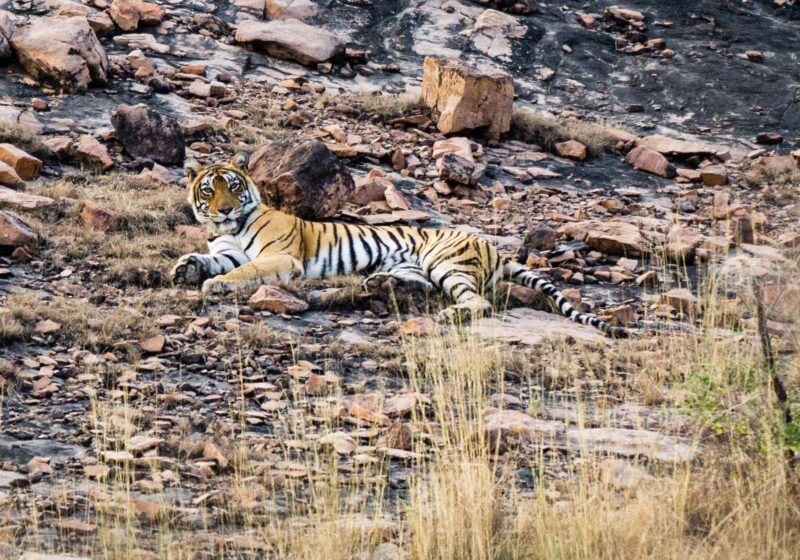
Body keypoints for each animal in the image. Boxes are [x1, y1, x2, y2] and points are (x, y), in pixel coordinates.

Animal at [171, 153, 626, 337]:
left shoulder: (280, 256)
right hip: (416, 266)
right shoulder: (224, 250)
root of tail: (494, 248)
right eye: (209, 190)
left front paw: (215, 285)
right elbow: (207, 259)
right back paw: (381, 284)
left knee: (478, 302)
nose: (224, 210)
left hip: (446, 262)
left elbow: (245, 270)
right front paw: (185, 268)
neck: (230, 229)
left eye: (232, 187)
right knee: (418, 286)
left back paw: (447, 315)